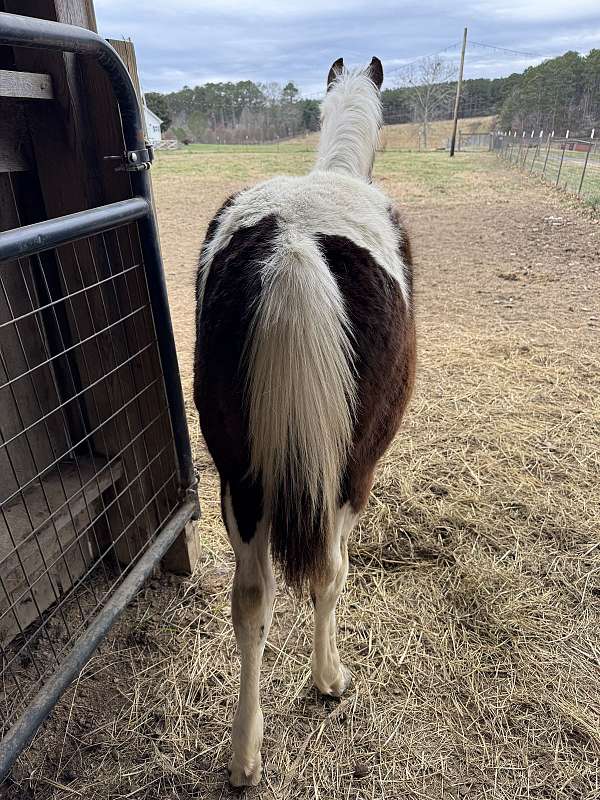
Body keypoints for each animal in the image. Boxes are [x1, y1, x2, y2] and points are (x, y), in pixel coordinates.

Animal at [195, 56, 414, 788]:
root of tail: (293, 244)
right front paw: (328, 679)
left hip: (238, 478)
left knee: (250, 600)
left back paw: (244, 754)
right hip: (350, 472)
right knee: (327, 572)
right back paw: (327, 679)